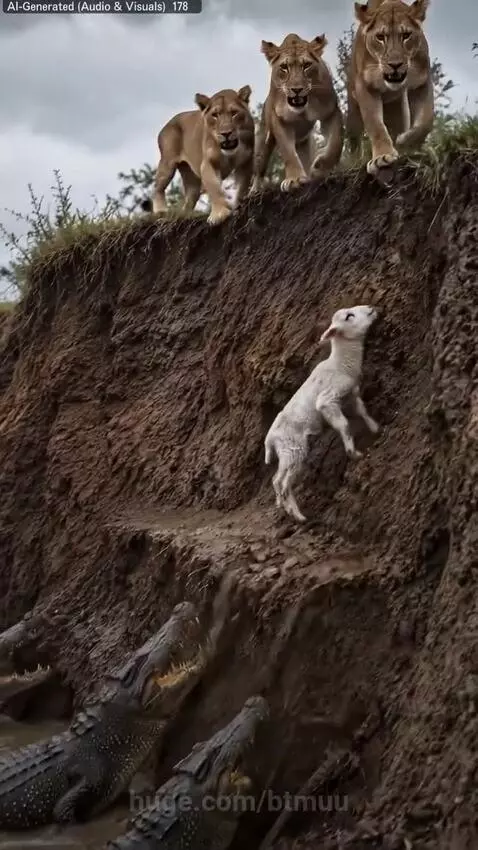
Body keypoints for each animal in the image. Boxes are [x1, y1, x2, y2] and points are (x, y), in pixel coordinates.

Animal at [146, 86, 255, 225]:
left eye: (234, 113)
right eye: (215, 115)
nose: (226, 133)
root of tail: (166, 124)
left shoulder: (245, 162)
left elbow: (242, 186)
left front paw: (237, 205)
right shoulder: (207, 165)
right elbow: (214, 188)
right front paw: (219, 215)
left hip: (190, 176)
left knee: (191, 196)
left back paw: (186, 215)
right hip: (168, 163)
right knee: (157, 187)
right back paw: (161, 211)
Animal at [251, 33, 344, 194]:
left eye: (306, 65)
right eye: (284, 67)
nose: (296, 89)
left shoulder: (330, 111)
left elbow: (336, 142)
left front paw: (320, 168)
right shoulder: (279, 120)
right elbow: (288, 152)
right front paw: (294, 180)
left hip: (304, 141)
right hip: (264, 139)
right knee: (259, 167)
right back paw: (253, 191)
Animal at [264, 304, 379, 522]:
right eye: (349, 316)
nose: (371, 308)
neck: (341, 363)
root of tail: (270, 439)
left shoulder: (350, 394)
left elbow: (362, 411)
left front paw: (375, 428)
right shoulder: (328, 400)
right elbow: (344, 424)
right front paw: (353, 453)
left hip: (286, 452)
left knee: (276, 479)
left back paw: (282, 505)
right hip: (294, 449)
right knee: (284, 483)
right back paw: (298, 515)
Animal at [347, 0, 434, 176]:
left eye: (406, 35)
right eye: (380, 37)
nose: (395, 65)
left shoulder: (421, 83)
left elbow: (426, 120)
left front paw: (407, 142)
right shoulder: (365, 86)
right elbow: (375, 124)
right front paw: (382, 157)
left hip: (397, 109)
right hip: (353, 110)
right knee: (355, 139)